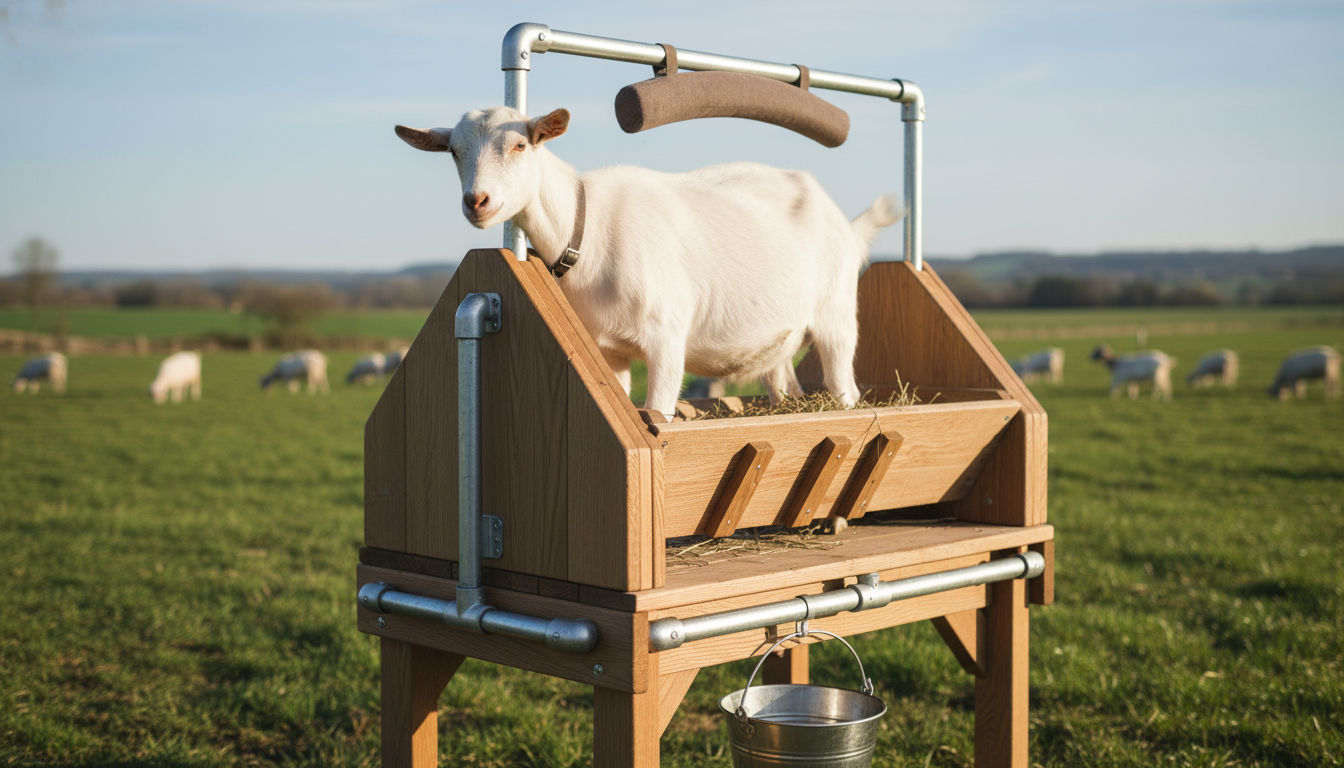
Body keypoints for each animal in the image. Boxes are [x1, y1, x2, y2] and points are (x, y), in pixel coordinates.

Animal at [396, 107, 903, 420]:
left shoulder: (666, 338)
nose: (477, 201)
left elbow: (660, 412)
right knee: (785, 381)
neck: (586, 228)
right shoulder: (609, 350)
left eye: (521, 146)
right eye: (454, 151)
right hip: (780, 339)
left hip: (836, 314)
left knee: (844, 383)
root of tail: (847, 223)